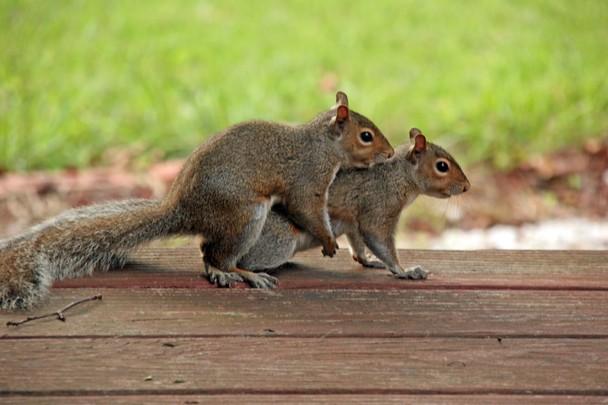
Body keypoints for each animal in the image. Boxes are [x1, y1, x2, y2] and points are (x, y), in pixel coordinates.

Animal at [1, 91, 394, 308]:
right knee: (214, 254)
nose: (390, 153)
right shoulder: (307, 178)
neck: (322, 144)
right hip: (245, 216)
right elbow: (306, 209)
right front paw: (328, 241)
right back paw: (240, 273)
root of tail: (183, 210)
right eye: (366, 135)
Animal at [236, 127, 470, 278]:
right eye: (442, 166)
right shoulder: (378, 206)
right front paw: (404, 271)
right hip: (279, 240)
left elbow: (358, 244)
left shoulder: (353, 221)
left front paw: (368, 260)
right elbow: (377, 237)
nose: (467, 186)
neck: (396, 177)